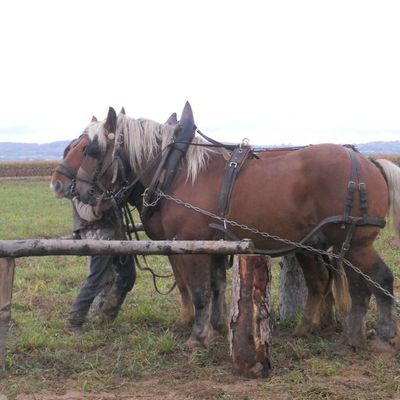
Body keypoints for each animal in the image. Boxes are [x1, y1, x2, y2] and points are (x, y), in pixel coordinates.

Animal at [77, 104, 400, 348]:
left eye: (91, 150)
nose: (77, 191)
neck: (177, 171)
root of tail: (367, 162)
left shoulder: (192, 244)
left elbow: (199, 292)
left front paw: (198, 337)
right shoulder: (212, 245)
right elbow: (214, 286)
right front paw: (215, 328)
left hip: (355, 242)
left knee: (379, 279)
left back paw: (383, 338)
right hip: (337, 245)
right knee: (351, 286)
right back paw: (343, 336)